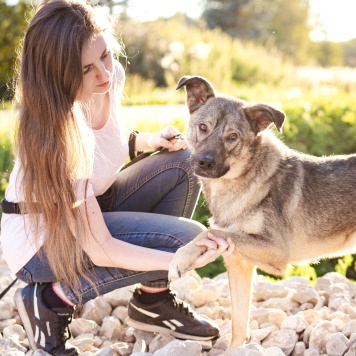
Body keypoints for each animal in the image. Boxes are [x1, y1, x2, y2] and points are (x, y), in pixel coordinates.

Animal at [168, 74, 356, 354]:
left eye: (232, 136)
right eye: (203, 127)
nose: (204, 162)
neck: (235, 187)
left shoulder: (275, 251)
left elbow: (210, 232)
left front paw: (181, 259)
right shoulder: (238, 263)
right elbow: (239, 323)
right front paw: (235, 350)